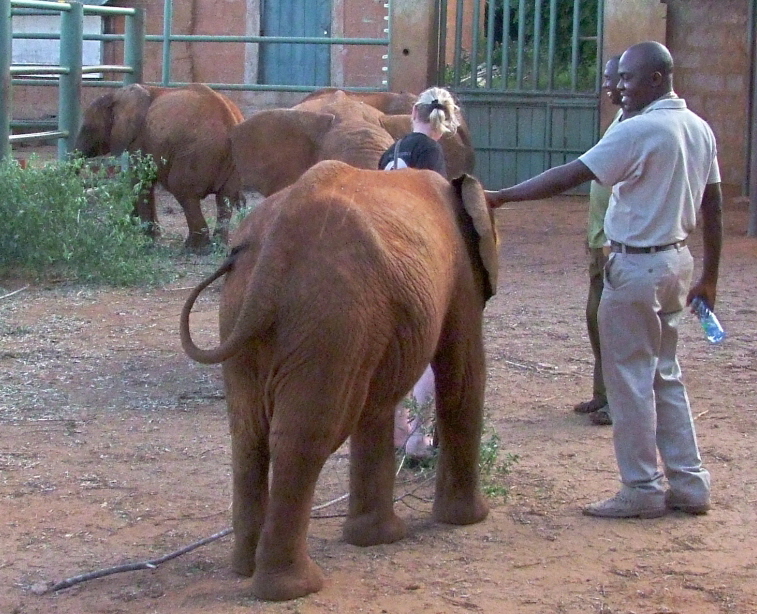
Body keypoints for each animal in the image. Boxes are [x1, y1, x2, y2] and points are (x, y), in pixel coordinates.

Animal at [74, 83, 242, 251]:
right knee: (225, 198)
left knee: (184, 192)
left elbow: (140, 181)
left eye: (87, 128)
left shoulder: (139, 139)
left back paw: (194, 249)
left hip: (197, 154)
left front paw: (144, 238)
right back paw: (217, 246)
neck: (118, 95)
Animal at [179, 161, 500, 604]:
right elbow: (462, 375)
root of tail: (275, 245)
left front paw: (375, 539)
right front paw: (469, 521)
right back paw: (294, 588)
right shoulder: (461, 277)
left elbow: (377, 405)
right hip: (333, 315)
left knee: (248, 433)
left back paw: (244, 569)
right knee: (307, 436)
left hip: (248, 310)